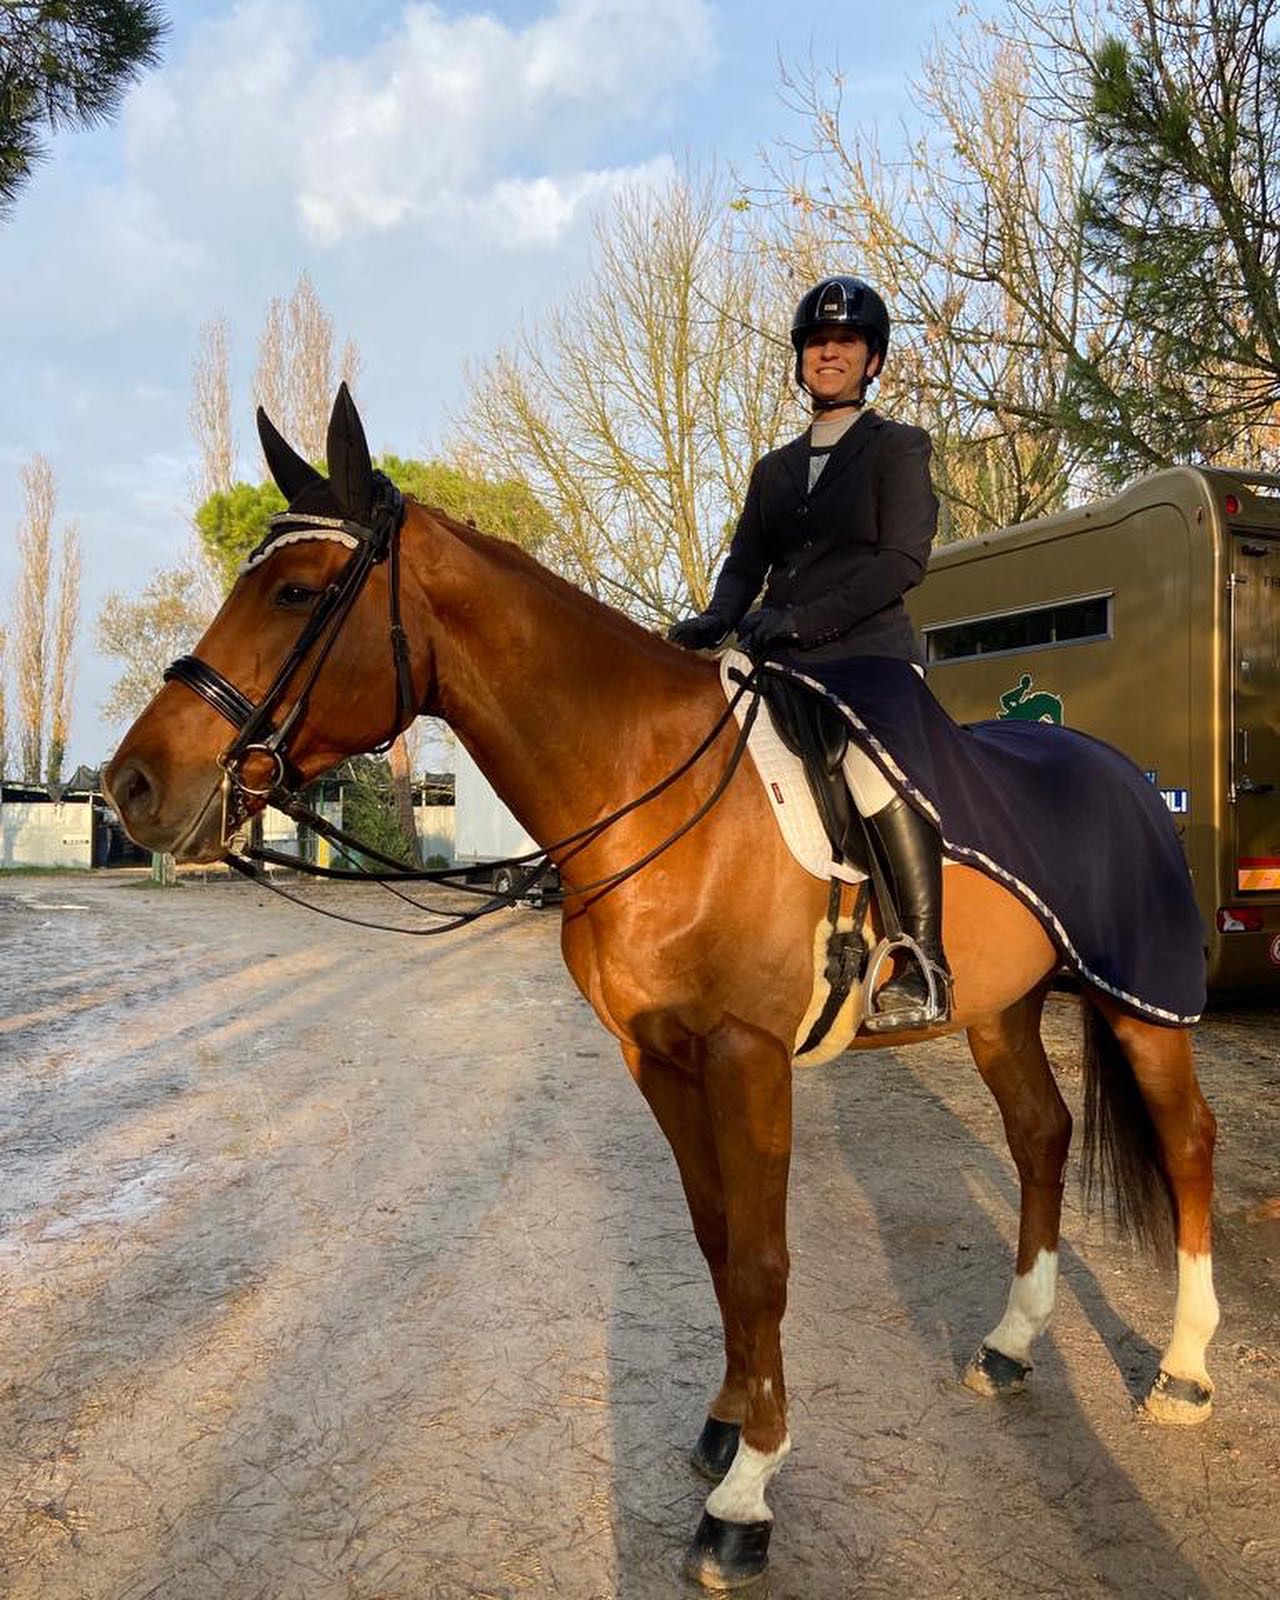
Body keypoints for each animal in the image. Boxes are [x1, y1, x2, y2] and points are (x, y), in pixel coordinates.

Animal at [104, 390, 1216, 1600]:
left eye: (299, 592)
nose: (133, 786)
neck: (652, 783)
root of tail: (1119, 772)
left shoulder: (746, 1055)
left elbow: (765, 1260)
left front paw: (746, 1498)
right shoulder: (656, 1053)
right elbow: (715, 1236)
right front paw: (727, 1426)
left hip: (1142, 1006)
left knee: (1185, 1142)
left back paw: (1184, 1370)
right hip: (1003, 1011)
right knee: (1039, 1134)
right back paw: (1011, 1346)